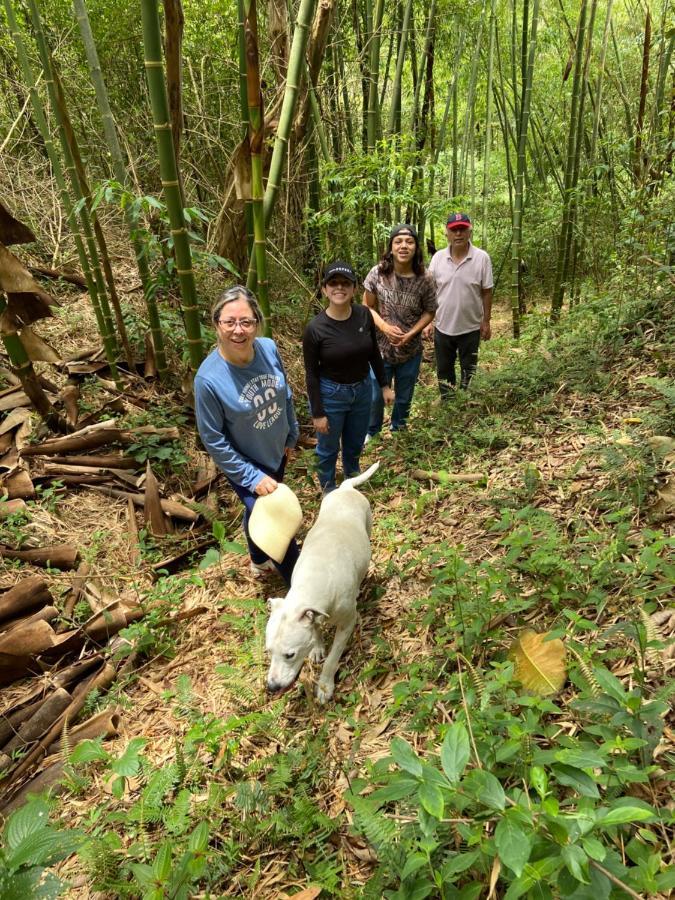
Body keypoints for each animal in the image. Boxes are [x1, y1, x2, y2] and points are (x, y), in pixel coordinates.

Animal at [264, 464, 380, 704]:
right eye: (268, 651)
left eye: (290, 654)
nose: (272, 687)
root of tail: (345, 488)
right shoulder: (313, 613)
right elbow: (315, 630)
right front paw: (317, 647)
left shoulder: (347, 623)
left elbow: (333, 658)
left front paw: (325, 686)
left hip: (368, 524)